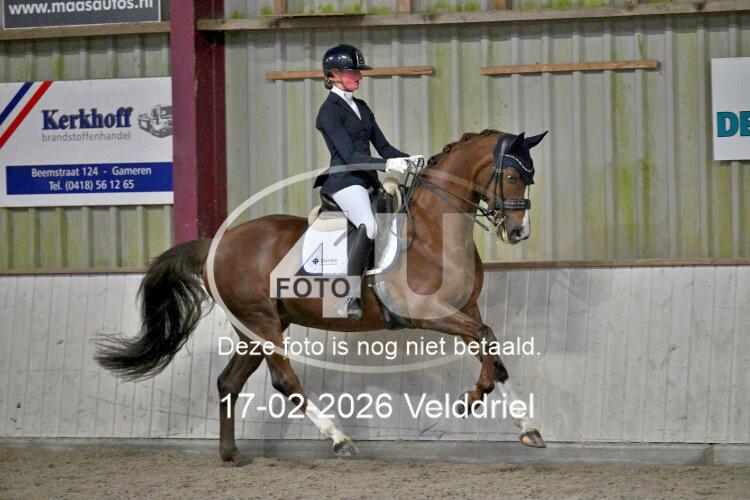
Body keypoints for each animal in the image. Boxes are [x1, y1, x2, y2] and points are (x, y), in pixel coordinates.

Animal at [96, 129, 548, 462]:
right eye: (511, 176)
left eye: (529, 177)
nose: (519, 231)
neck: (435, 231)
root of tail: (215, 247)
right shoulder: (427, 312)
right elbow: (487, 338)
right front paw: (472, 400)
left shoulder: (464, 308)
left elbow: (493, 350)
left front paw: (523, 426)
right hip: (262, 324)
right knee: (284, 380)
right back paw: (338, 439)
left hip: (254, 331)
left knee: (229, 381)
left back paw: (232, 454)